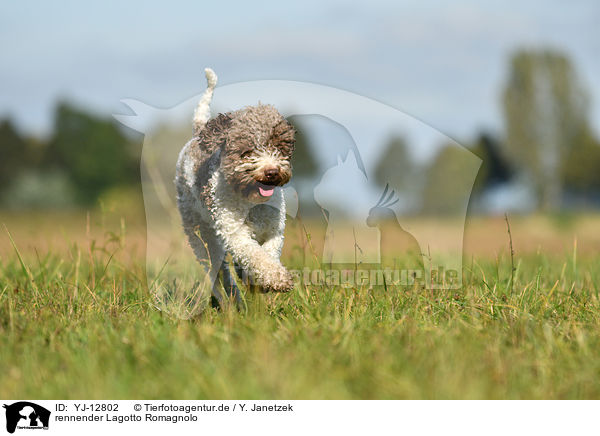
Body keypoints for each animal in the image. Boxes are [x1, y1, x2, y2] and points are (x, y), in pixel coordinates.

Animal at [173, 68, 296, 306]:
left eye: (278, 146)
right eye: (246, 151)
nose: (271, 172)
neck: (250, 200)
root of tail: (197, 133)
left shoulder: (274, 229)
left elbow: (269, 252)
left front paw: (262, 280)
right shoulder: (234, 232)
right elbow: (255, 254)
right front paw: (277, 278)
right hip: (200, 233)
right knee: (217, 271)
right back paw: (231, 301)